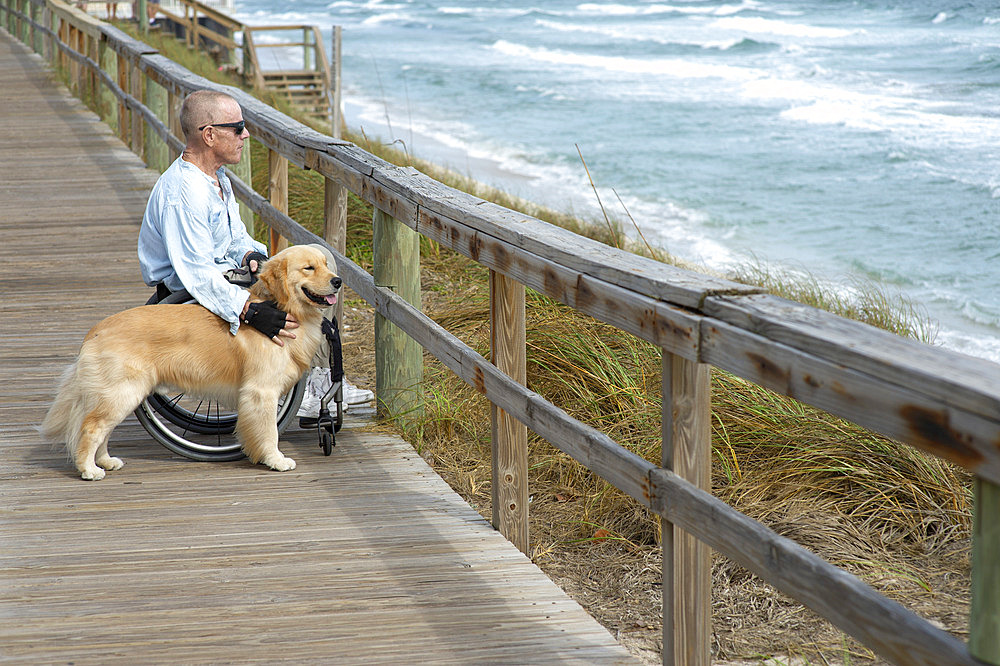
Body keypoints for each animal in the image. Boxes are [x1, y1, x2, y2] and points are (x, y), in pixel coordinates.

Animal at [44, 244, 340, 478]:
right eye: (309, 268)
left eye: (325, 264)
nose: (338, 281)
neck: (281, 310)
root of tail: (95, 330)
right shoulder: (261, 391)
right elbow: (269, 431)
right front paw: (275, 459)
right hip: (122, 392)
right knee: (92, 428)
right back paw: (88, 469)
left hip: (120, 395)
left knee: (102, 429)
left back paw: (105, 461)